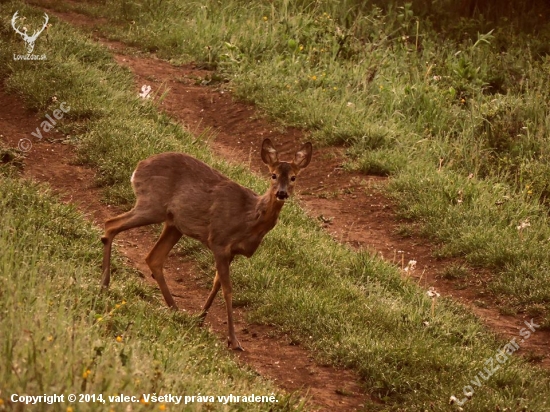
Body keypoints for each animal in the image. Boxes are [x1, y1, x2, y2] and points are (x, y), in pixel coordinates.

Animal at [101, 139, 312, 350]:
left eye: (293, 177)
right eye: (273, 175)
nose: (281, 193)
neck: (249, 217)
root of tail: (138, 168)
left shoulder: (231, 251)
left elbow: (216, 283)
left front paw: (200, 319)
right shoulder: (219, 241)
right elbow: (227, 289)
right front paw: (233, 340)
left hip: (173, 224)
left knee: (153, 257)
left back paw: (175, 309)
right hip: (152, 205)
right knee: (111, 224)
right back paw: (105, 284)